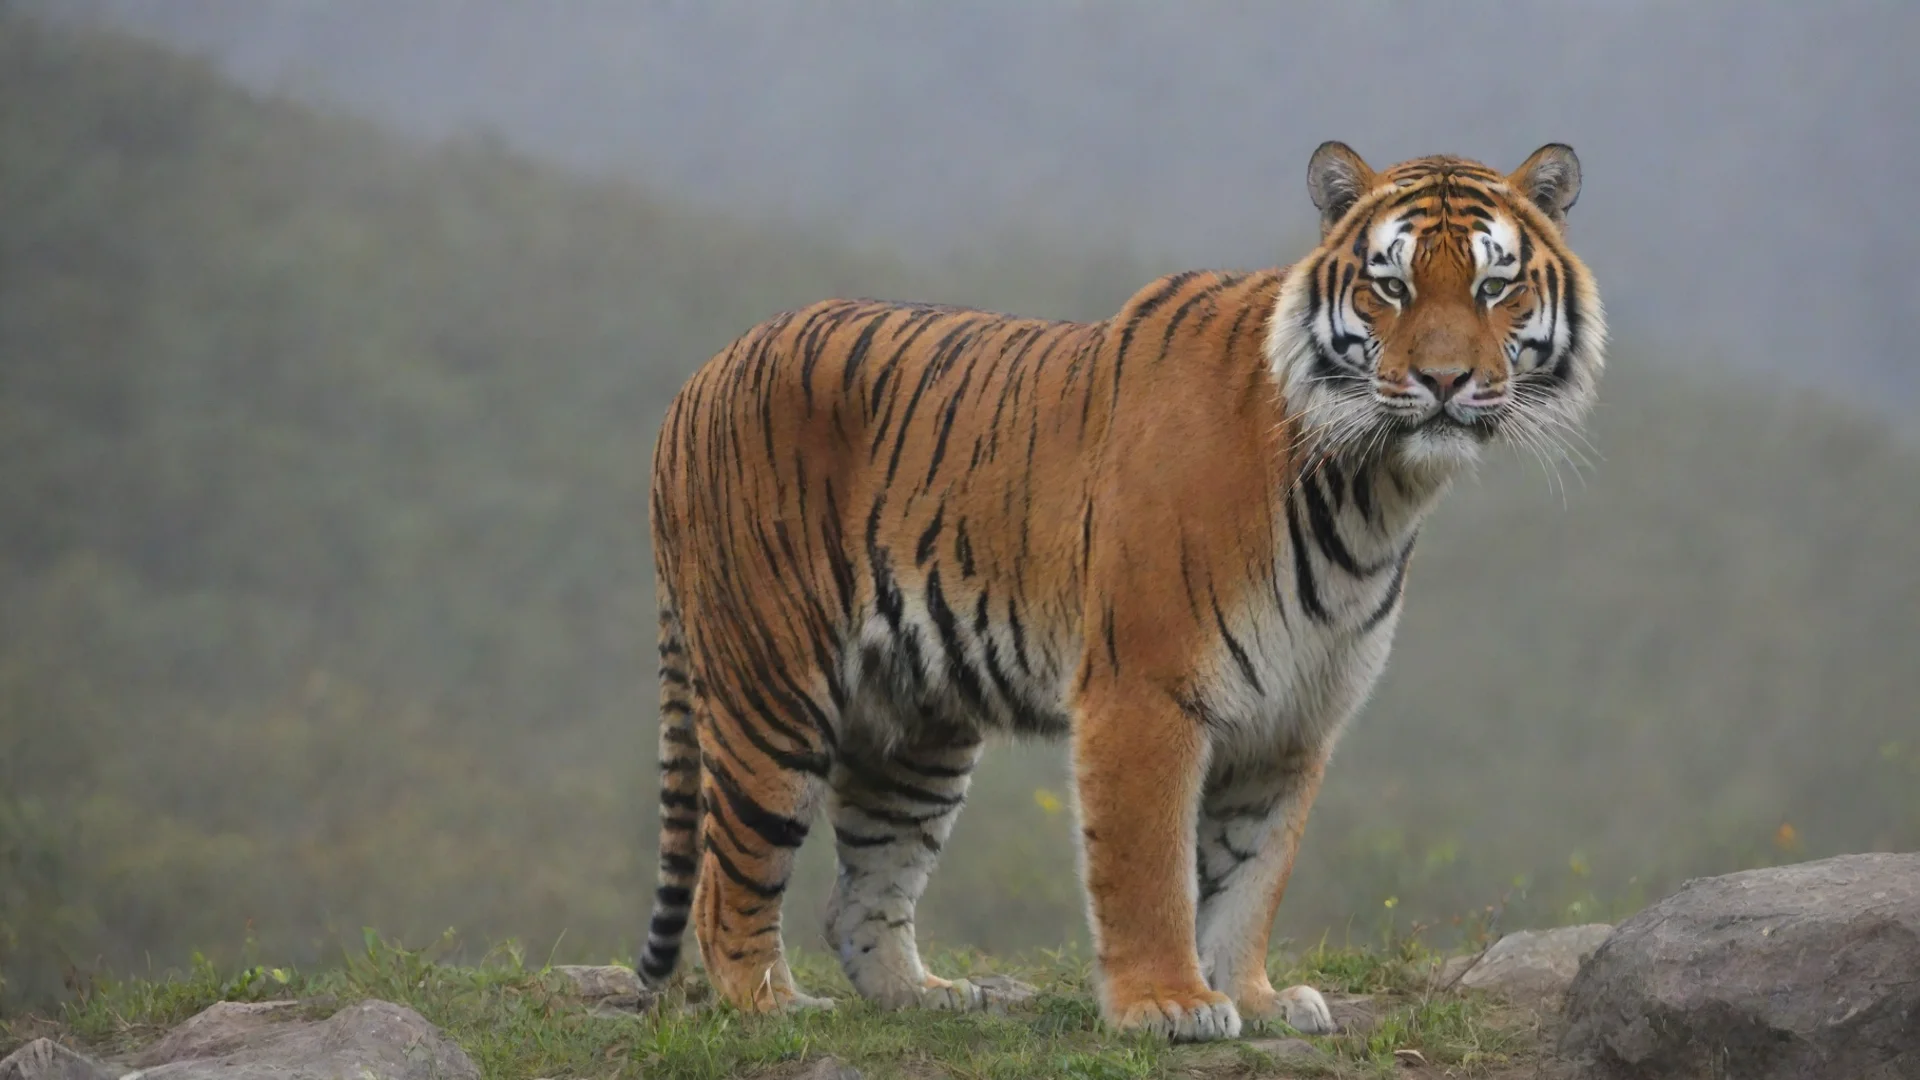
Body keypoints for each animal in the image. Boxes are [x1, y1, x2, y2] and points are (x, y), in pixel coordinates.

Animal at [638, 142, 1604, 1042]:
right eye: (1391, 288)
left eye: (1493, 287)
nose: (1444, 382)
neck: (1371, 492)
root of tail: (697, 378)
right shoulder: (1146, 690)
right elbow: (1150, 868)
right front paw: (1168, 1003)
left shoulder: (1294, 717)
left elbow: (1252, 876)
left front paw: (1256, 997)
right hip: (772, 688)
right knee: (728, 880)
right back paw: (772, 1006)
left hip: (917, 725)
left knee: (860, 892)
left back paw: (922, 997)